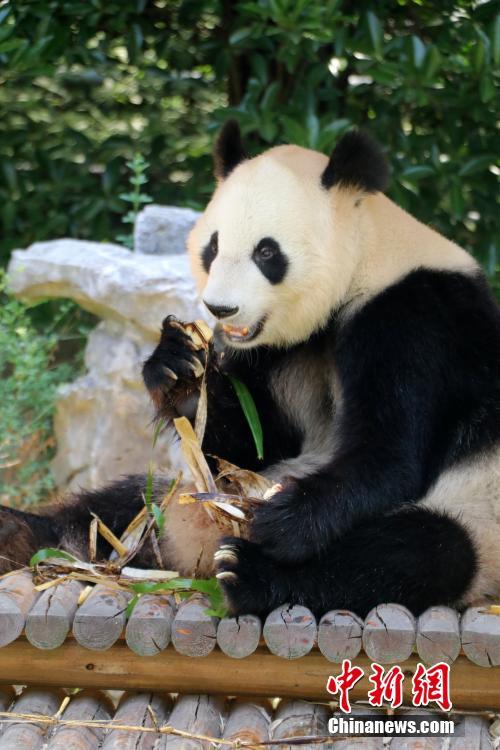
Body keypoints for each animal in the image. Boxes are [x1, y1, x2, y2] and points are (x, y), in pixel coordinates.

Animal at [1, 121, 499, 619]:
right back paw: (27, 532)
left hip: (477, 515)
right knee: (123, 502)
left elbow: (387, 459)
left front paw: (282, 518)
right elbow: (249, 442)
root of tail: (193, 551)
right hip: (173, 497)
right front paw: (180, 370)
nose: (221, 308)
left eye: (267, 252)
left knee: (418, 552)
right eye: (213, 246)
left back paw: (249, 573)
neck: (364, 259)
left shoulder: (412, 319)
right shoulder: (278, 352)